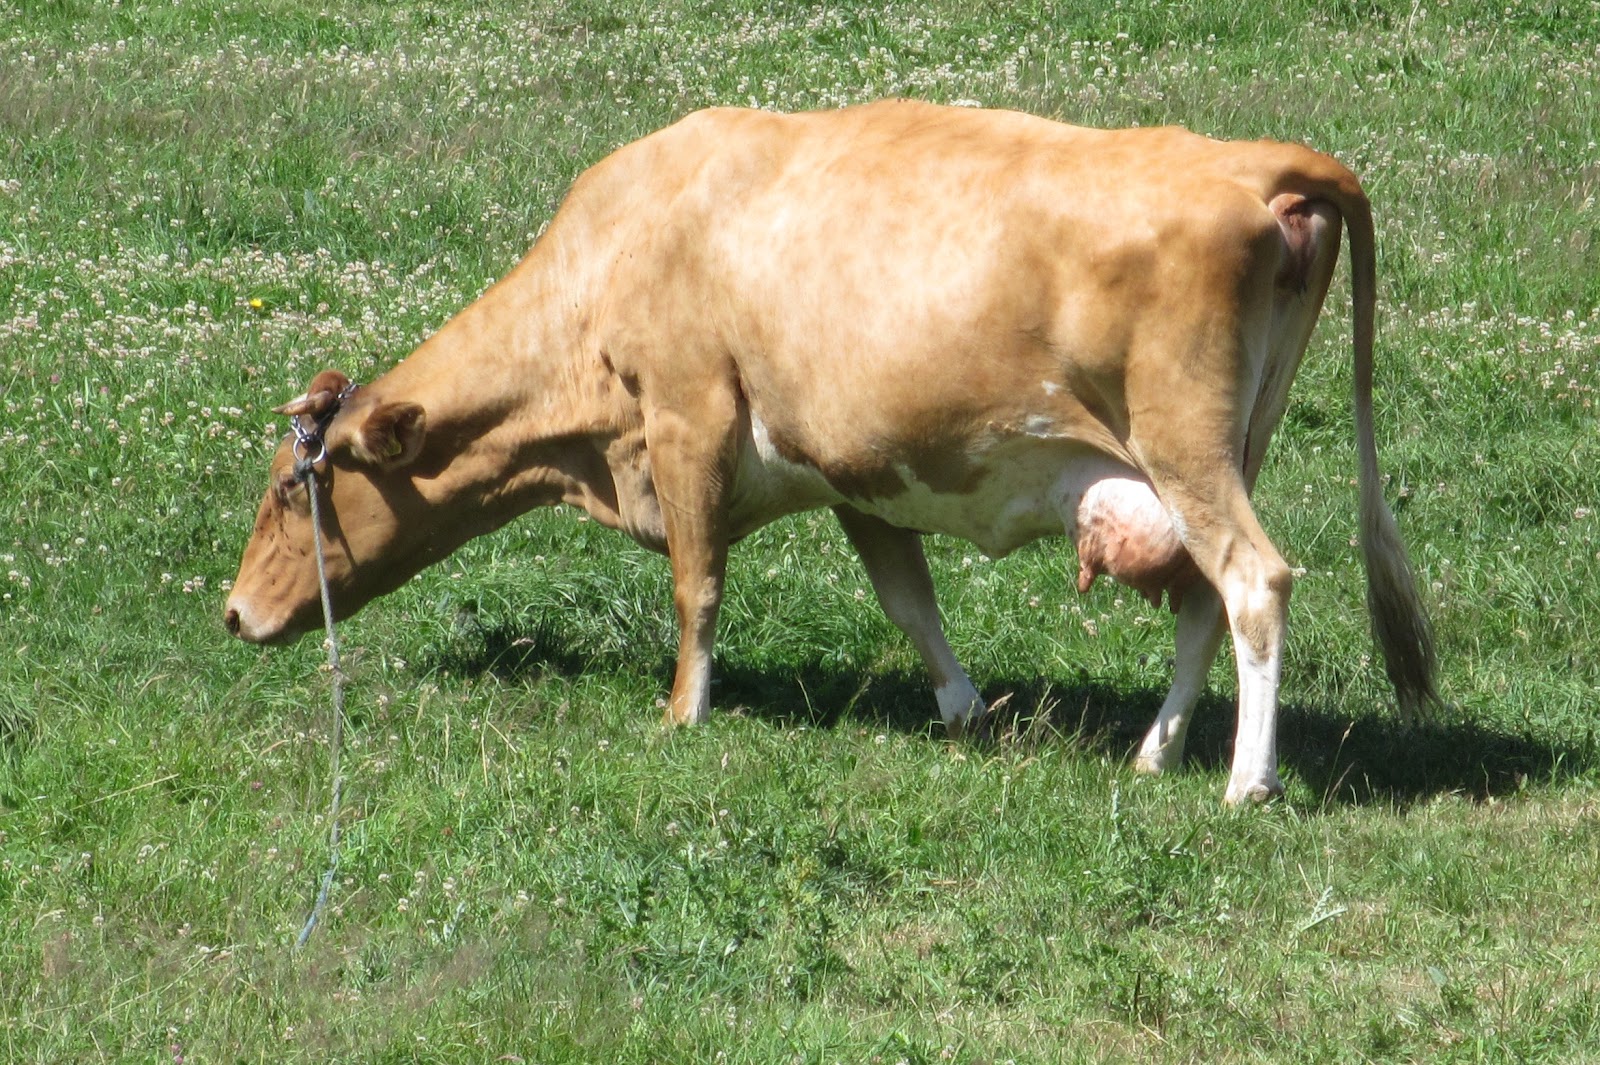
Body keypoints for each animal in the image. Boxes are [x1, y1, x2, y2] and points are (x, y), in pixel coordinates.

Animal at [222, 99, 1440, 799]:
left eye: (290, 487)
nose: (233, 614)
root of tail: (1256, 160)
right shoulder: (857, 467)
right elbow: (909, 601)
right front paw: (965, 713)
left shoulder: (688, 420)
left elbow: (697, 588)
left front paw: (682, 714)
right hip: (1222, 450)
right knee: (1200, 600)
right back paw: (1157, 753)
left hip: (1185, 443)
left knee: (1255, 582)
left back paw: (1246, 783)